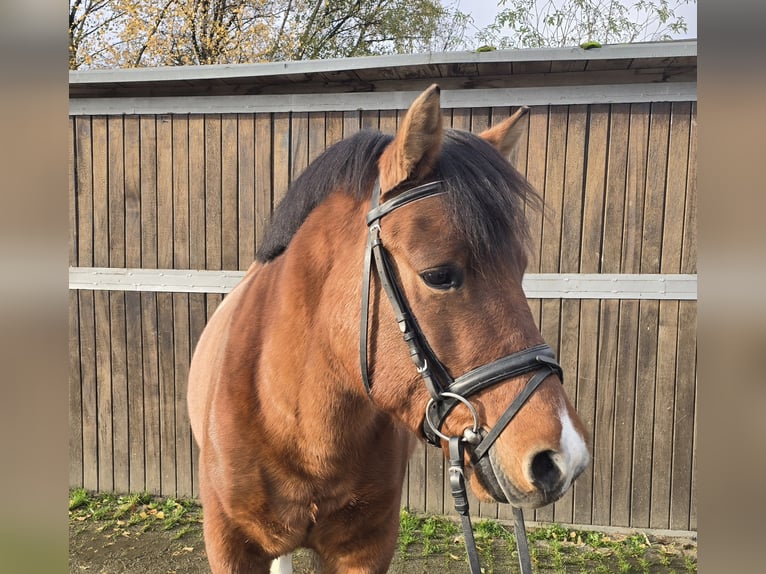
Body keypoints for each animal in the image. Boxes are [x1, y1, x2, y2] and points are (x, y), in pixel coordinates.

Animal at [188, 85, 592, 574]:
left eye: (521, 270)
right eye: (438, 275)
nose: (563, 458)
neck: (298, 424)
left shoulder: (367, 548)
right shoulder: (231, 547)